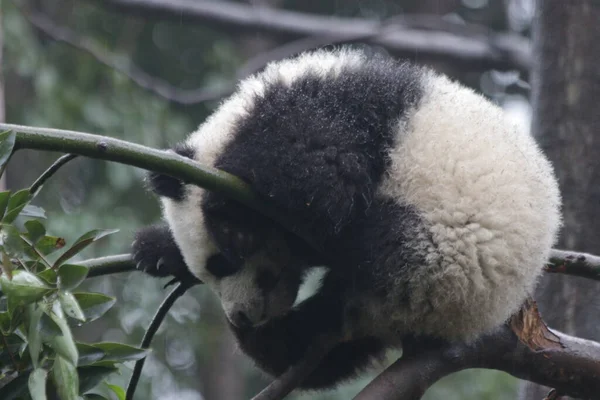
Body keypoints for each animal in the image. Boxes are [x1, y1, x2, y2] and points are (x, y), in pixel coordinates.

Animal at [132, 47, 564, 388]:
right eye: (210, 269)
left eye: (225, 261)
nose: (243, 315)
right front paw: (156, 249)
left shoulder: (328, 112)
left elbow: (319, 183)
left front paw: (232, 213)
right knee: (316, 351)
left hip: (440, 251)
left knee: (367, 241)